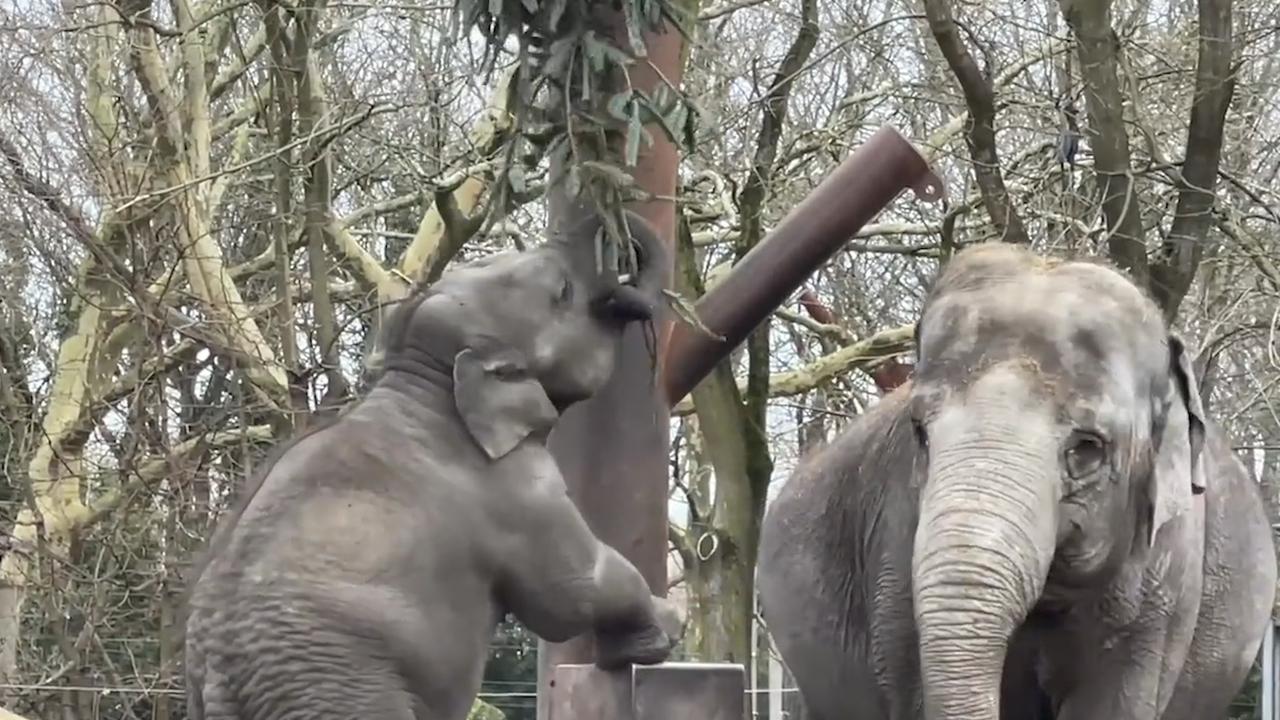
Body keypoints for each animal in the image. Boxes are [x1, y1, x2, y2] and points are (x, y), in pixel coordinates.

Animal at [185, 208, 686, 717]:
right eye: (562, 291)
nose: (619, 244)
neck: (420, 380)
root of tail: (221, 680)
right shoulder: (516, 488)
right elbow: (572, 594)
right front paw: (667, 630)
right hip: (338, 692)